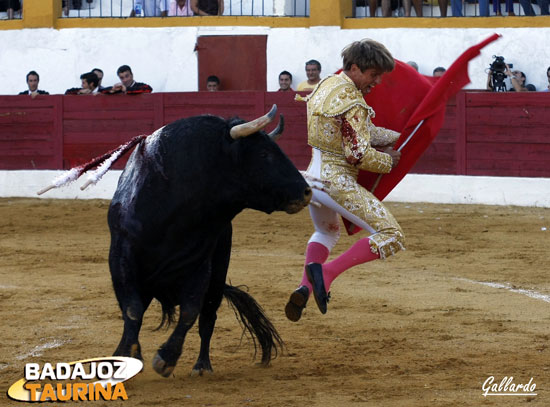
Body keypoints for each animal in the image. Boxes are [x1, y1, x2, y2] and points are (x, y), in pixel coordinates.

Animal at [106, 107, 310, 378]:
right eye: (265, 154)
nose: (307, 192)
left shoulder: (201, 263)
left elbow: (190, 312)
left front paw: (166, 358)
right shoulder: (122, 257)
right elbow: (132, 310)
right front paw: (124, 355)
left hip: (218, 274)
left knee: (208, 318)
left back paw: (202, 365)